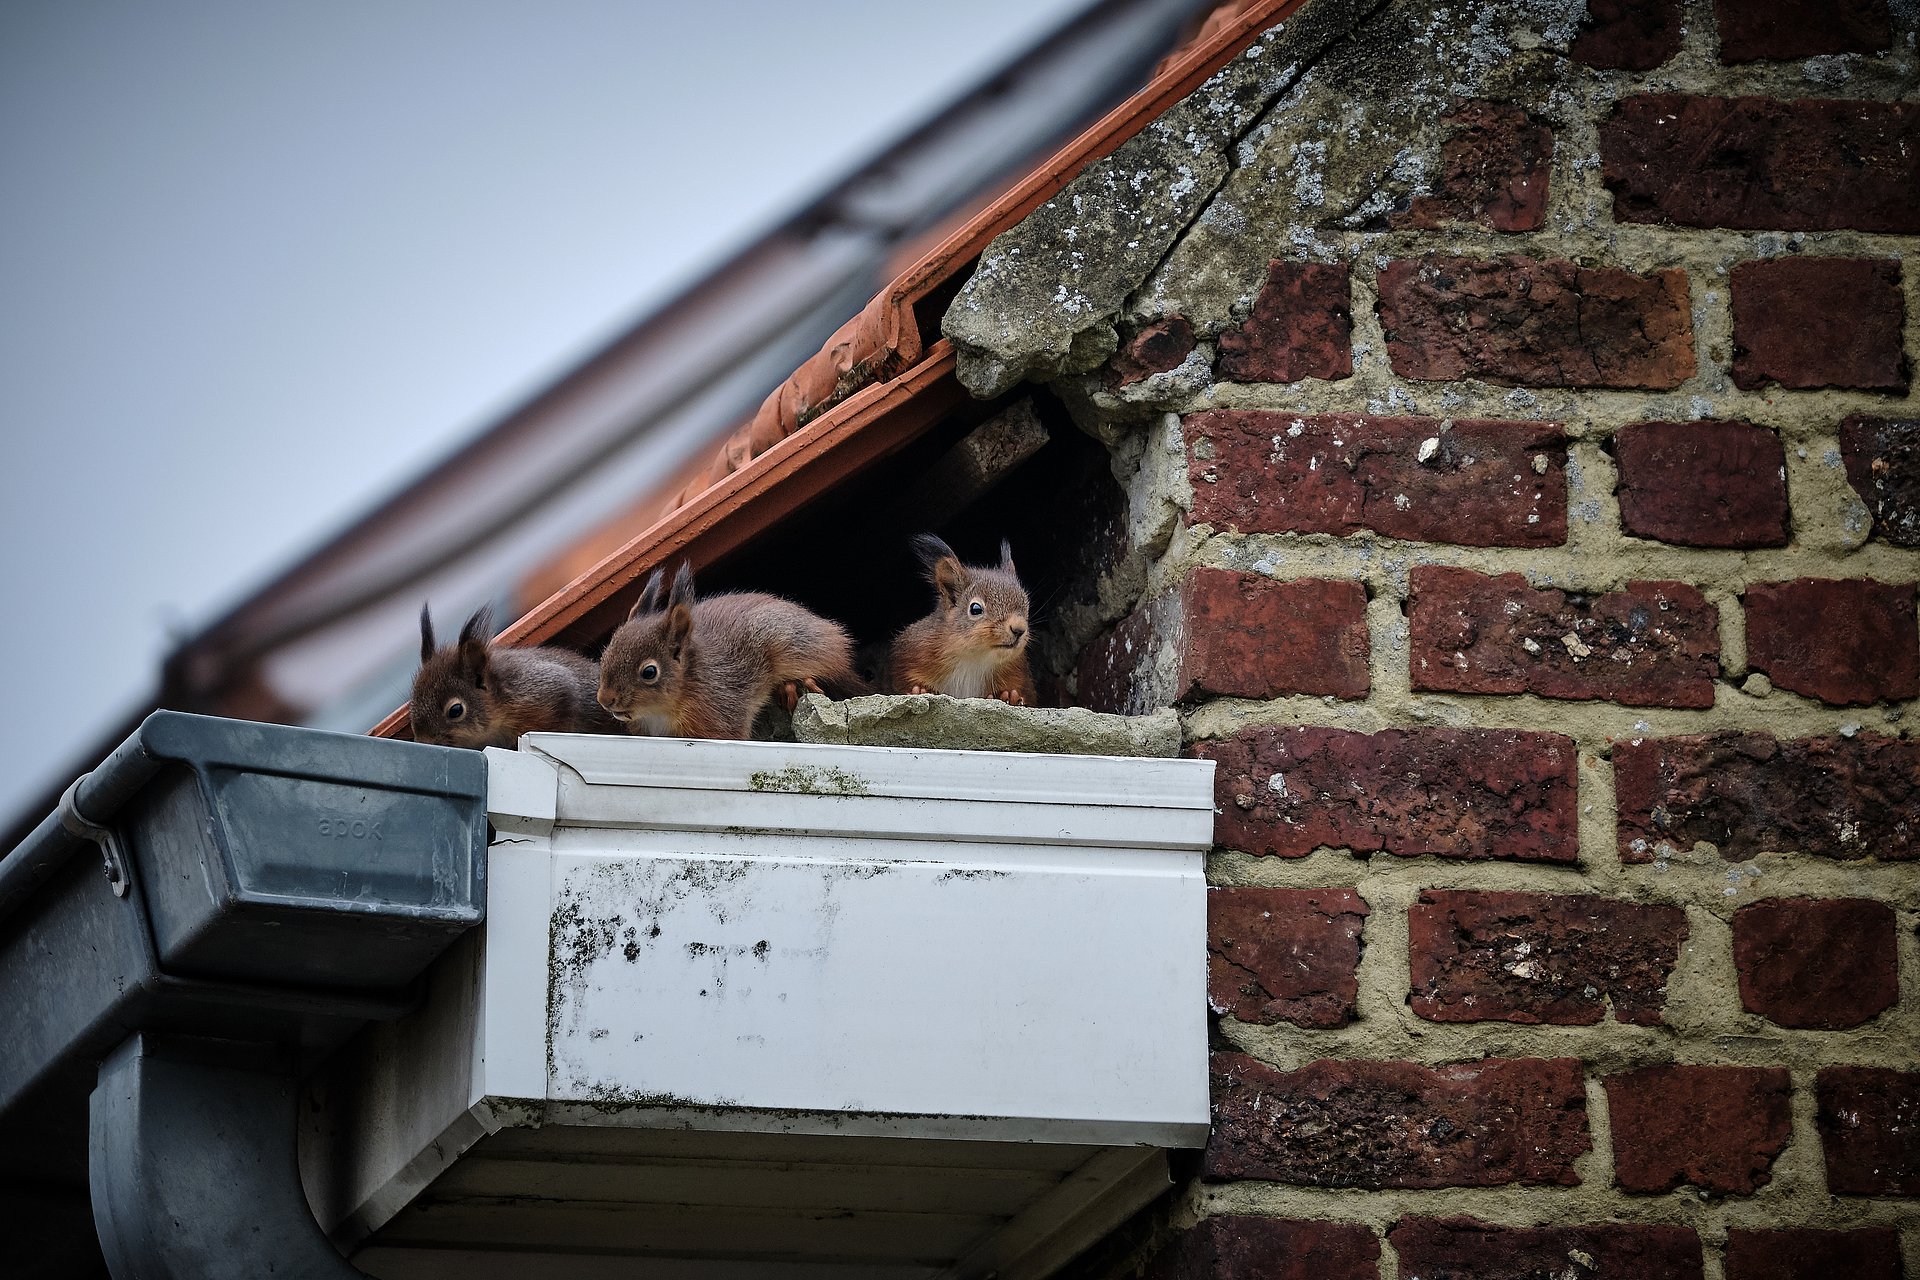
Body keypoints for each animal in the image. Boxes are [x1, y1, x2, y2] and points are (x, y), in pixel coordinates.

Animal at [883, 533, 1036, 706]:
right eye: (975, 609)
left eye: (1026, 604)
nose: (1019, 629)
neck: (973, 658)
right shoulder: (910, 655)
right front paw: (919, 690)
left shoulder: (1018, 671)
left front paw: (1010, 695)